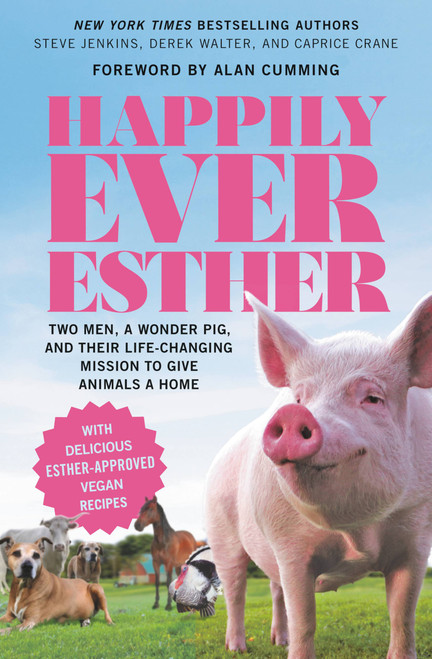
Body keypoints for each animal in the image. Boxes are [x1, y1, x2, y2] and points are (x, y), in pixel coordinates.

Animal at [205, 293, 432, 659]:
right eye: (299, 397)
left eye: (373, 398)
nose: (292, 413)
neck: (355, 529)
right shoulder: (289, 545)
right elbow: (305, 619)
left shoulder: (417, 535)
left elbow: (402, 614)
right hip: (221, 531)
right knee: (235, 589)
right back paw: (237, 649)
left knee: (273, 589)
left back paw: (277, 641)